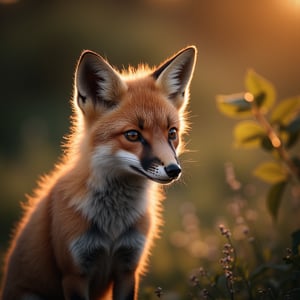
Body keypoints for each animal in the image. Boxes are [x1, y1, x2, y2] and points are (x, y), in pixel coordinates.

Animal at [1, 45, 197, 300]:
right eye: (133, 135)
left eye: (171, 133)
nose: (174, 170)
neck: (112, 228)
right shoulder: (74, 273)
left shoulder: (128, 268)